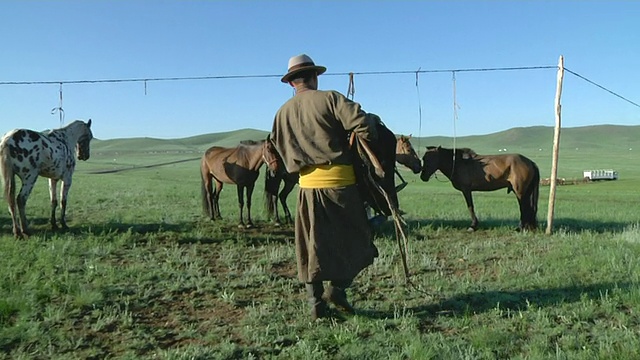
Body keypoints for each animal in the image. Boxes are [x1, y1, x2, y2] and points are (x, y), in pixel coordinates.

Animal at [262, 122, 422, 226]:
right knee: (275, 196)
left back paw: (288, 219)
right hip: (277, 178)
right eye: (409, 149)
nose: (419, 166)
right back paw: (277, 220)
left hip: (288, 181)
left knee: (282, 196)